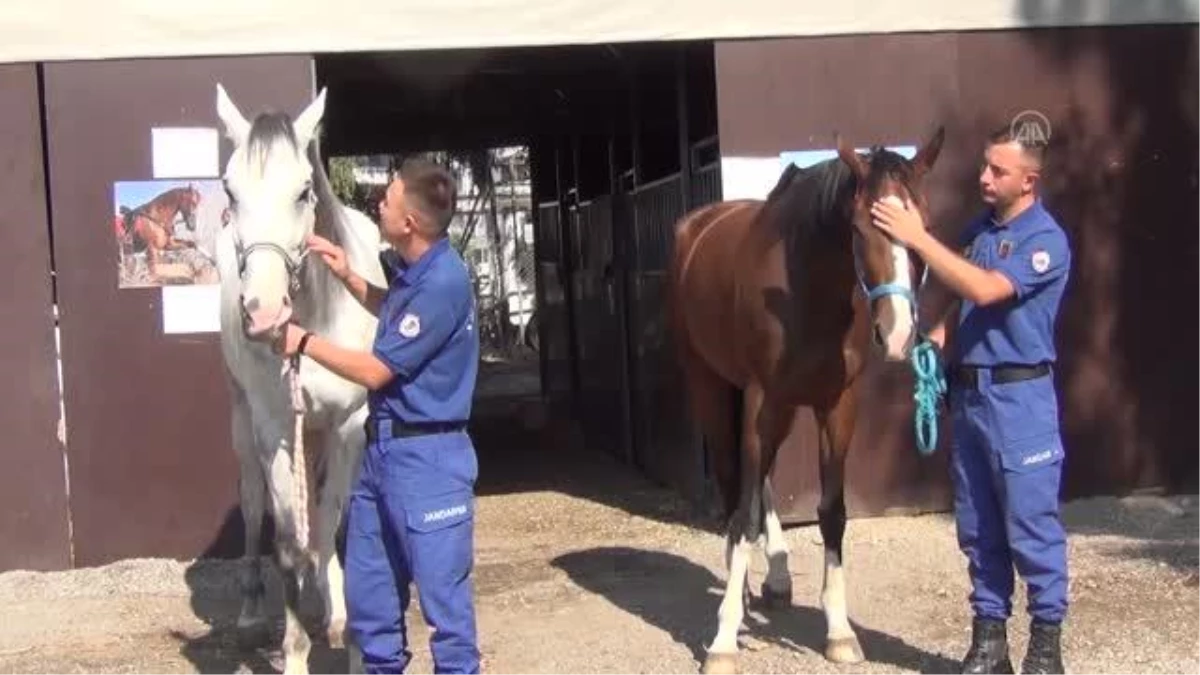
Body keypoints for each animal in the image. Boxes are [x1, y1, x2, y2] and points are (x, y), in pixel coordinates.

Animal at [213, 81, 381, 667]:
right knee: (251, 502)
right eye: (230, 191)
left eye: (304, 191)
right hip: (244, 419)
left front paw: (343, 623)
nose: (264, 313)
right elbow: (286, 541)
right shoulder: (275, 428)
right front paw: (296, 648)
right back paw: (250, 611)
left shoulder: (350, 425)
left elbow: (331, 521)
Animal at [672, 127, 940, 672]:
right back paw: (743, 590)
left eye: (922, 224)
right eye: (860, 228)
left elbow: (831, 511)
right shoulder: (759, 399)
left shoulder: (836, 405)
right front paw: (723, 639)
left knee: (763, 479)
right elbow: (744, 514)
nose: (898, 333)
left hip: (784, 405)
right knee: (735, 483)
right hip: (712, 387)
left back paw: (775, 578)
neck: (808, 288)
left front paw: (839, 632)